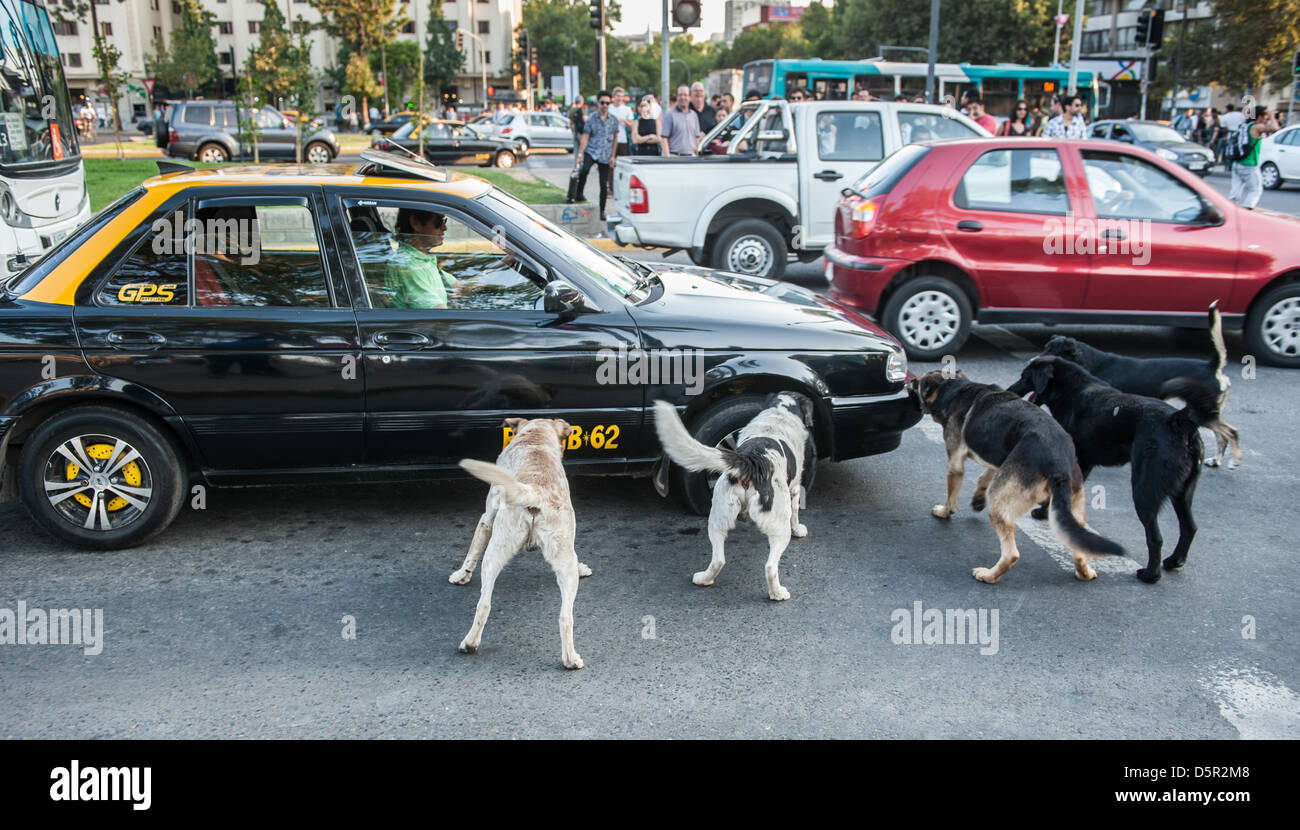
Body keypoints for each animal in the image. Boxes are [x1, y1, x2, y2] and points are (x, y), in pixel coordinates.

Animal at [447, 418, 590, 671]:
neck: (535, 438)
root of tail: (536, 492)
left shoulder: (487, 517)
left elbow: (473, 548)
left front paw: (461, 574)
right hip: (557, 562)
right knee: (564, 616)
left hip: (497, 548)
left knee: (485, 603)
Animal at [655, 392, 816, 601]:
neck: (778, 414)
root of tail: (752, 460)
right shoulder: (795, 487)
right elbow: (796, 512)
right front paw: (799, 530)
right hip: (779, 526)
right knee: (770, 567)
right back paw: (778, 593)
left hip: (717, 517)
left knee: (718, 560)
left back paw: (704, 579)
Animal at [920, 369, 1123, 585]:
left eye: (919, 383)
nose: (912, 382)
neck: (954, 388)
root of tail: (1057, 461)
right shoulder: (1001, 460)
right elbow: (984, 476)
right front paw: (977, 499)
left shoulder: (955, 462)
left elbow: (951, 495)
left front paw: (944, 511)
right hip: (1073, 507)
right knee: (1077, 547)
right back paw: (1084, 572)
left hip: (998, 502)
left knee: (1011, 554)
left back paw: (989, 575)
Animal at [1034, 300, 1237, 468]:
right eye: (1045, 347)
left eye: (1052, 350)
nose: (1032, 361)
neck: (1092, 362)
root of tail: (1212, 366)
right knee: (1222, 436)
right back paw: (1217, 460)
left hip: (1203, 412)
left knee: (1230, 432)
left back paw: (1232, 459)